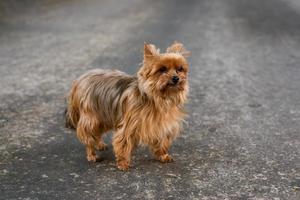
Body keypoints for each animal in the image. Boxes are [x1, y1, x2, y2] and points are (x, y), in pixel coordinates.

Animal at [65, 41, 190, 170]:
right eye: (162, 69)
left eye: (180, 69)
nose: (176, 78)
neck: (156, 98)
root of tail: (80, 80)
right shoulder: (130, 124)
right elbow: (123, 141)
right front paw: (123, 163)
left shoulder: (161, 124)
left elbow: (162, 141)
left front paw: (163, 155)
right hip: (92, 117)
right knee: (89, 135)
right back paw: (92, 154)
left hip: (103, 115)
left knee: (97, 133)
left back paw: (99, 144)